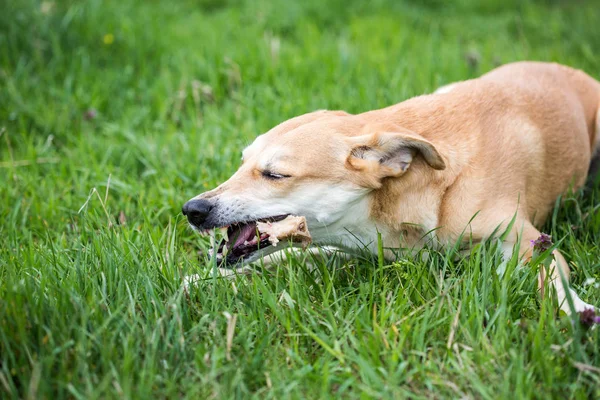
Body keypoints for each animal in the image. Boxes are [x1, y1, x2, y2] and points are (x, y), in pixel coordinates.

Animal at [184, 61, 600, 314]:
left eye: (274, 174)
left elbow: (552, 275)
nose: (192, 210)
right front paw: (201, 280)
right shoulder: (353, 246)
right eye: (242, 163)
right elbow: (280, 257)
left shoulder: (528, 240)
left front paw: (576, 314)